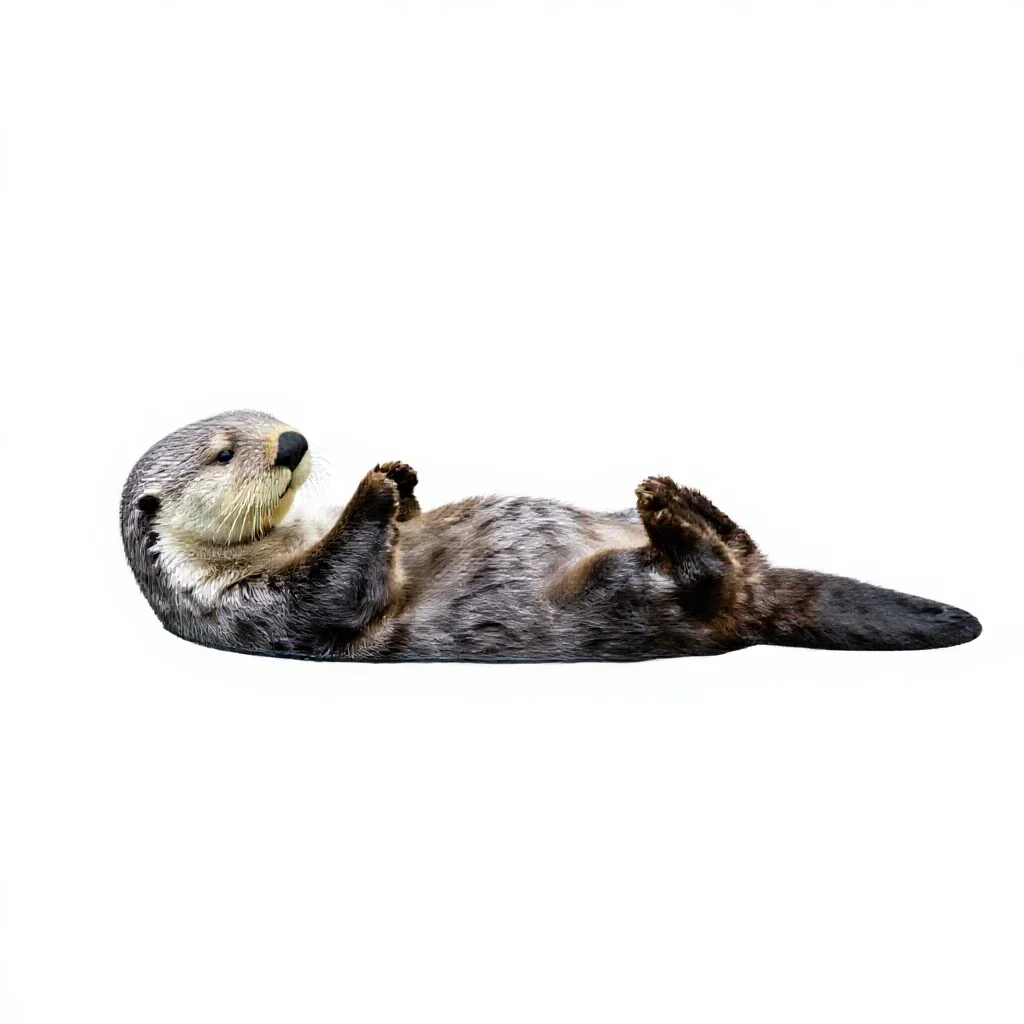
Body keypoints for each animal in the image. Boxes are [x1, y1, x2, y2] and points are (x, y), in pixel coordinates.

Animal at [121, 410, 982, 661]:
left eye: (270, 417)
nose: (292, 443)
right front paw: (376, 488)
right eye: (226, 452)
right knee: (707, 575)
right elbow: (341, 586)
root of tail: (756, 598)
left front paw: (402, 480)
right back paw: (670, 515)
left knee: (743, 544)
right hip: (627, 595)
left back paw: (671, 492)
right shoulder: (264, 611)